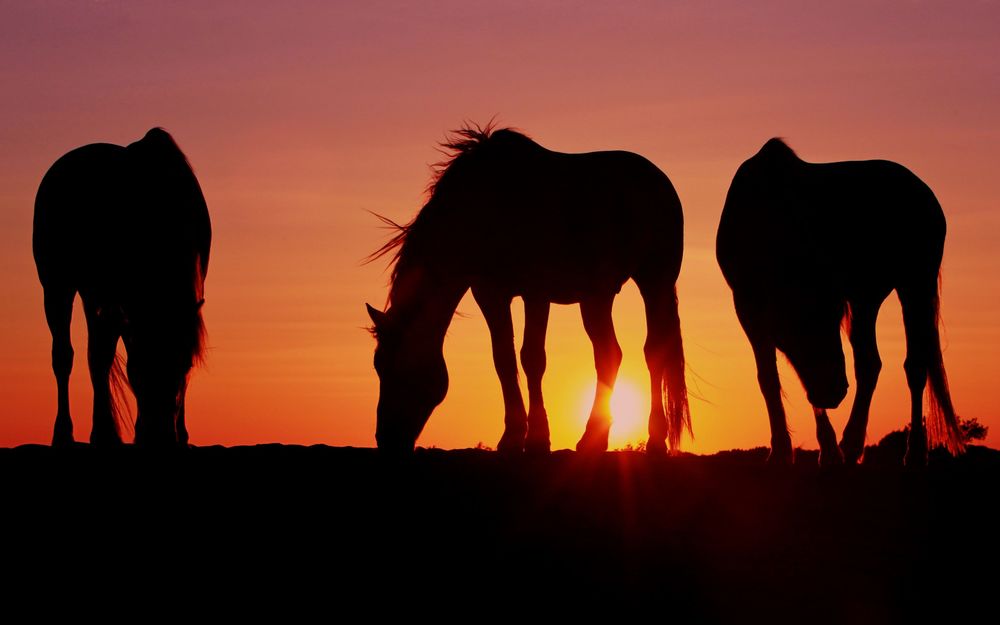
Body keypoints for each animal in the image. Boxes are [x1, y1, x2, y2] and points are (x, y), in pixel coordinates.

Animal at [34, 129, 211, 446]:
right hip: (58, 287)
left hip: (95, 297)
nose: (162, 438)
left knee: (97, 355)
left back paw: (103, 432)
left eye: (185, 366)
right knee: (65, 356)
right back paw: (67, 433)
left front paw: (181, 434)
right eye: (142, 368)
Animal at [368, 123, 688, 454]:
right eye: (378, 367)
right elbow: (504, 360)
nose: (386, 439)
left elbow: (532, 358)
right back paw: (593, 440)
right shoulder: (490, 294)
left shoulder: (536, 293)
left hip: (655, 282)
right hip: (595, 297)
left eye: (396, 369)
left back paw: (654, 439)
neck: (488, 209)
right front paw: (511, 437)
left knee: (654, 351)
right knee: (608, 355)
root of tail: (658, 179)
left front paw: (537, 438)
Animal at [716, 139, 964, 466]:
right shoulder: (748, 308)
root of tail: (923, 191)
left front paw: (825, 449)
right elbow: (771, 377)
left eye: (832, 317)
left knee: (914, 365)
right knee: (869, 363)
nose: (833, 392)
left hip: (914, 285)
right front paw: (790, 451)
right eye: (796, 328)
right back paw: (852, 445)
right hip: (866, 298)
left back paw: (912, 452)